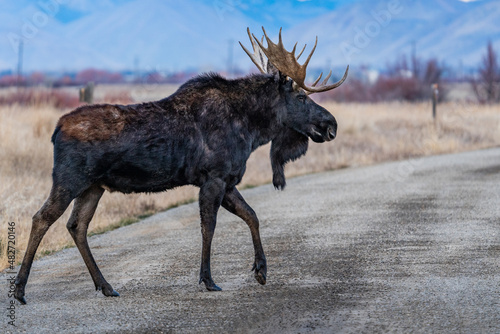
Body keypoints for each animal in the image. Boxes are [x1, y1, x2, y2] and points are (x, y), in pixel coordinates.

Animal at [14, 27, 348, 304]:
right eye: (301, 97)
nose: (331, 124)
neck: (253, 130)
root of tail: (56, 130)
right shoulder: (214, 177)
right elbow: (209, 226)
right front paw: (208, 279)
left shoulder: (227, 180)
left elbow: (252, 216)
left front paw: (261, 271)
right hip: (69, 179)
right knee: (41, 218)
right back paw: (19, 290)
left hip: (93, 186)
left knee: (77, 226)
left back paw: (106, 286)